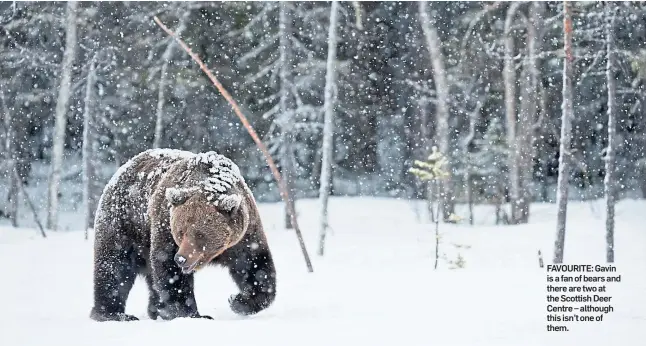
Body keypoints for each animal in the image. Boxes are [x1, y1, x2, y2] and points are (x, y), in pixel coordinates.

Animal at [89, 149, 276, 322]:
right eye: (181, 232)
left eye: (200, 234)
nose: (181, 258)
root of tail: (122, 169)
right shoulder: (165, 225)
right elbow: (170, 272)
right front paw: (192, 314)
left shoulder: (243, 235)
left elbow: (254, 266)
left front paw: (238, 301)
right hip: (125, 223)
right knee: (115, 266)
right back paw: (114, 314)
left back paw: (157, 310)